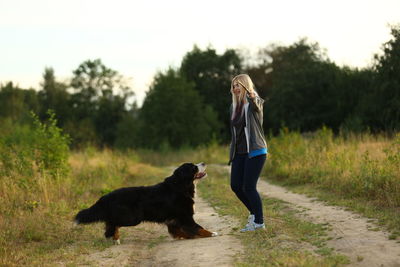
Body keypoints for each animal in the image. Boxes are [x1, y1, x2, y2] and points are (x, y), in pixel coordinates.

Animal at [73, 162, 217, 244]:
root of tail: (106, 196)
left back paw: (114, 238)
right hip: (132, 218)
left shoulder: (174, 221)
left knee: (110, 224)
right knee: (113, 223)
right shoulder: (186, 217)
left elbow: (181, 232)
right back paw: (115, 237)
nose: (204, 162)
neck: (181, 186)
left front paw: (186, 237)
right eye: (193, 167)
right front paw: (212, 233)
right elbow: (198, 227)